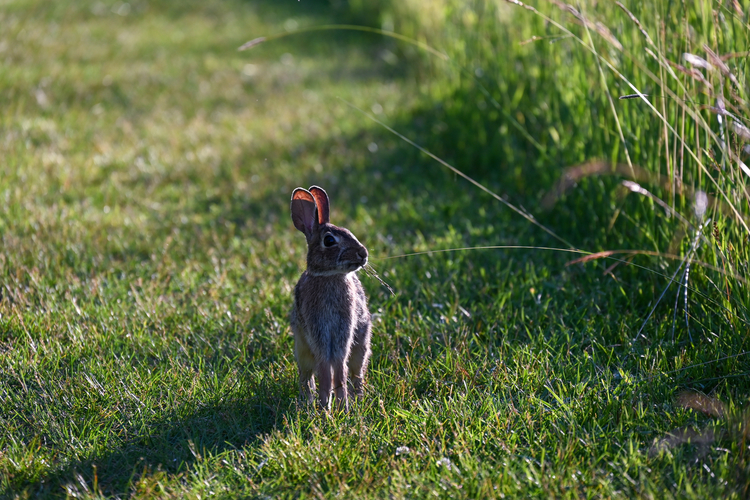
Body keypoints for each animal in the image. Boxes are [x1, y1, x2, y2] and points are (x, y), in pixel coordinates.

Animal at [290, 184, 372, 410]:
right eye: (329, 240)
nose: (363, 254)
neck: (329, 276)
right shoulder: (319, 330)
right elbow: (326, 368)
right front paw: (325, 407)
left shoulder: (343, 330)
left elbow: (338, 365)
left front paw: (341, 405)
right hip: (302, 349)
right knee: (307, 376)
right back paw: (308, 403)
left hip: (361, 345)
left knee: (356, 373)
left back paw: (357, 398)